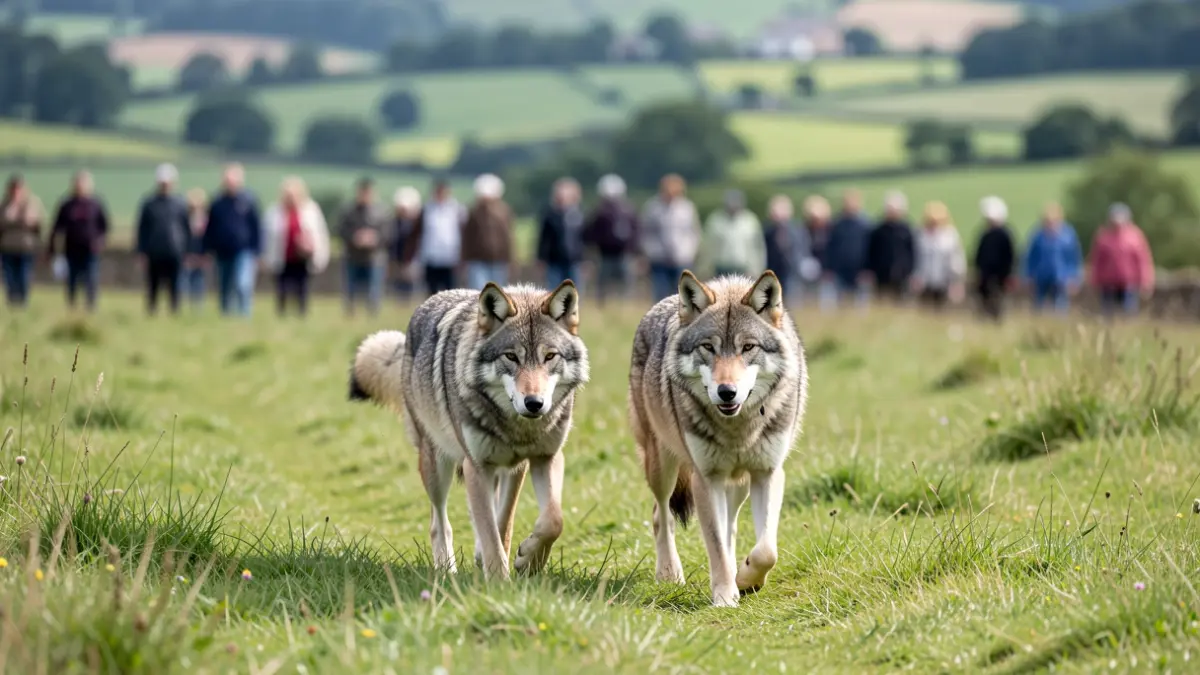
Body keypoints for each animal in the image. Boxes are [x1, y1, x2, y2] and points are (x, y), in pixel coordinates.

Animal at [349, 281, 589, 580]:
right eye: (511, 357)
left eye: (549, 357)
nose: (534, 403)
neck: (516, 428)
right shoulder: (477, 466)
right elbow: (490, 534)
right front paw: (499, 583)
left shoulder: (540, 460)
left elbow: (547, 521)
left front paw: (528, 561)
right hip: (437, 466)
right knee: (438, 523)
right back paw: (446, 570)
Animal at [628, 270, 807, 607]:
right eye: (708, 348)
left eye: (748, 347)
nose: (727, 392)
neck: (738, 429)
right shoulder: (706, 479)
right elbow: (715, 546)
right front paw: (725, 596)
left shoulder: (767, 473)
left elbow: (766, 551)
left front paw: (747, 579)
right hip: (662, 467)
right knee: (661, 515)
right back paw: (669, 573)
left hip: (737, 484)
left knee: (731, 528)